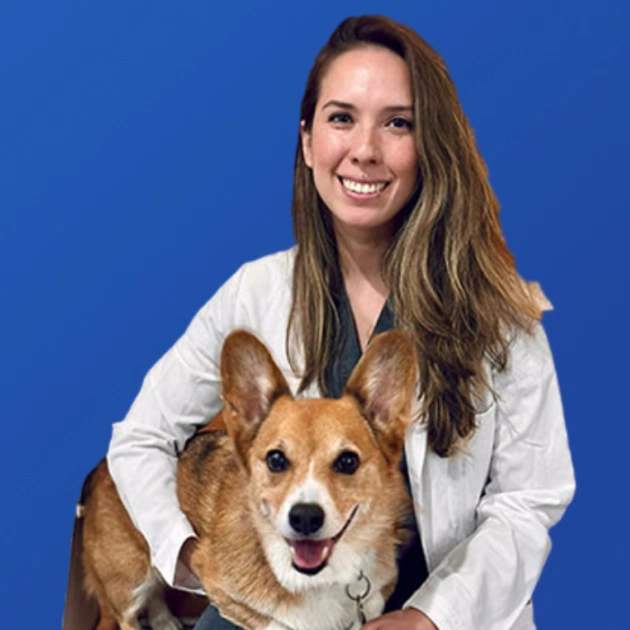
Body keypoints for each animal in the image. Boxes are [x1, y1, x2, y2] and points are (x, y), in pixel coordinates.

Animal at [81, 329, 418, 630]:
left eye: (348, 461)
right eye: (276, 459)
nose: (305, 518)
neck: (318, 578)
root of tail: (101, 465)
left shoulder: (373, 596)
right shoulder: (216, 580)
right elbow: (273, 621)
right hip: (129, 579)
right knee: (131, 613)